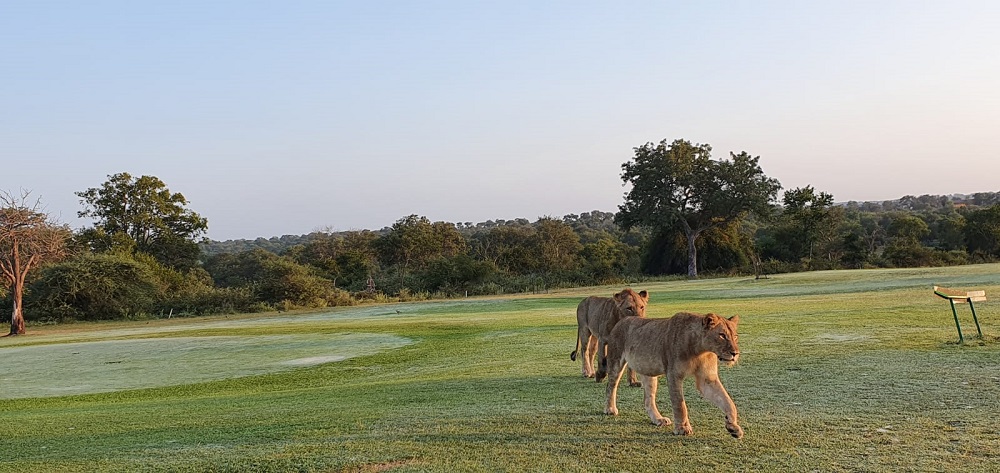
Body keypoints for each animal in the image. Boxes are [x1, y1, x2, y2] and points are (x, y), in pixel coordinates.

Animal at [596, 311, 744, 439]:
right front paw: (682, 428)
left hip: (649, 371)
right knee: (610, 386)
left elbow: (728, 401)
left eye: (735, 336)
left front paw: (733, 427)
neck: (701, 351)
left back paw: (658, 419)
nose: (735, 353)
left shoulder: (707, 379)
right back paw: (610, 409)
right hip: (616, 361)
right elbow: (679, 404)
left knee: (648, 400)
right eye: (722, 335)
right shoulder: (674, 374)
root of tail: (622, 321)